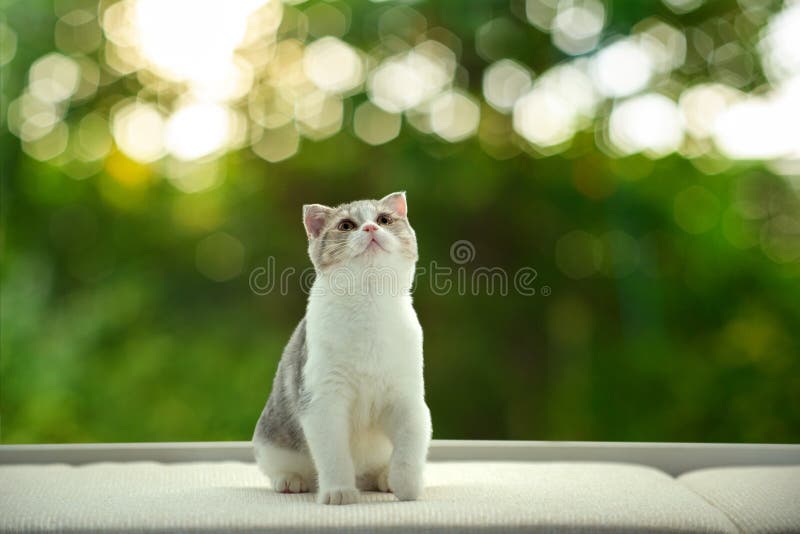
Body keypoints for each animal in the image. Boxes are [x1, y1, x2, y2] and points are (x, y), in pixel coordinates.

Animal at [255, 192, 432, 506]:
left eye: (384, 219)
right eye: (346, 225)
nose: (371, 228)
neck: (370, 304)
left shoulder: (407, 398)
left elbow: (409, 449)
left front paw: (407, 486)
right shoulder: (323, 400)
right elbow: (334, 454)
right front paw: (339, 492)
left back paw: (384, 478)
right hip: (271, 437)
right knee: (277, 465)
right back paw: (290, 480)